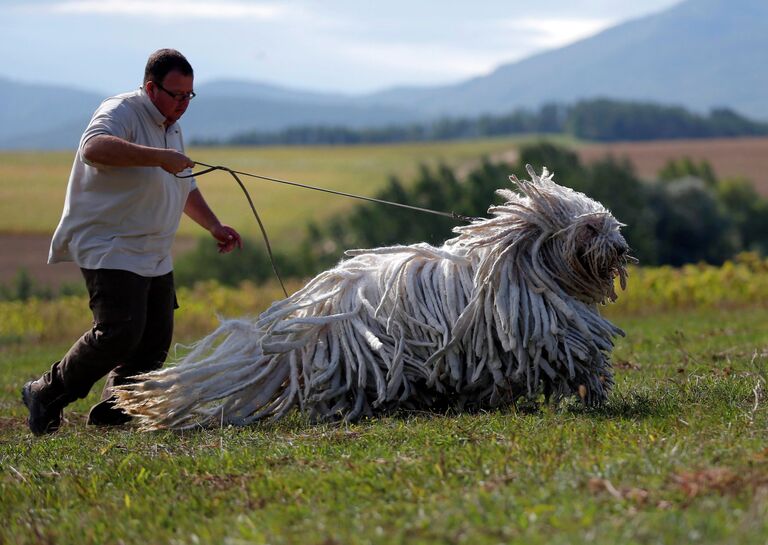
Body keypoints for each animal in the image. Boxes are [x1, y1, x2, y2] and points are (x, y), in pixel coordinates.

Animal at [114, 166, 632, 430]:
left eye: (609, 221)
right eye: (590, 227)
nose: (621, 248)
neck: (522, 263)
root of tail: (308, 315)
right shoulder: (545, 329)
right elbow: (577, 354)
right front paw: (594, 390)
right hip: (366, 356)